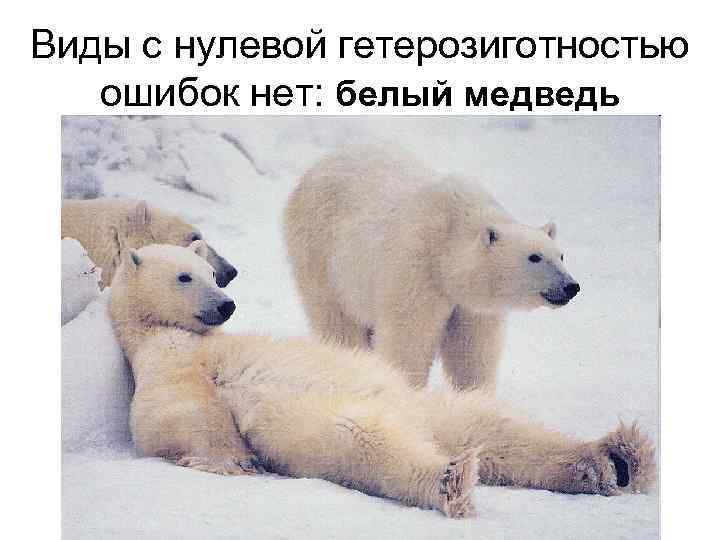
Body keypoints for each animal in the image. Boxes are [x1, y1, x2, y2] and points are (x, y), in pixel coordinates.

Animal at [109, 242, 654, 518]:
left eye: (211, 274)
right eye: (185, 276)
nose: (225, 305)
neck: (181, 336)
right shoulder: (165, 366)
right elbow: (177, 416)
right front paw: (234, 461)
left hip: (426, 404)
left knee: (495, 428)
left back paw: (616, 459)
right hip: (334, 422)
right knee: (367, 441)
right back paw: (453, 479)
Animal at [283, 145, 580, 390]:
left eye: (561, 255)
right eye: (534, 257)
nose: (571, 286)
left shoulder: (471, 307)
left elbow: (472, 350)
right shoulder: (417, 269)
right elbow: (410, 339)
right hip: (320, 253)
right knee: (338, 322)